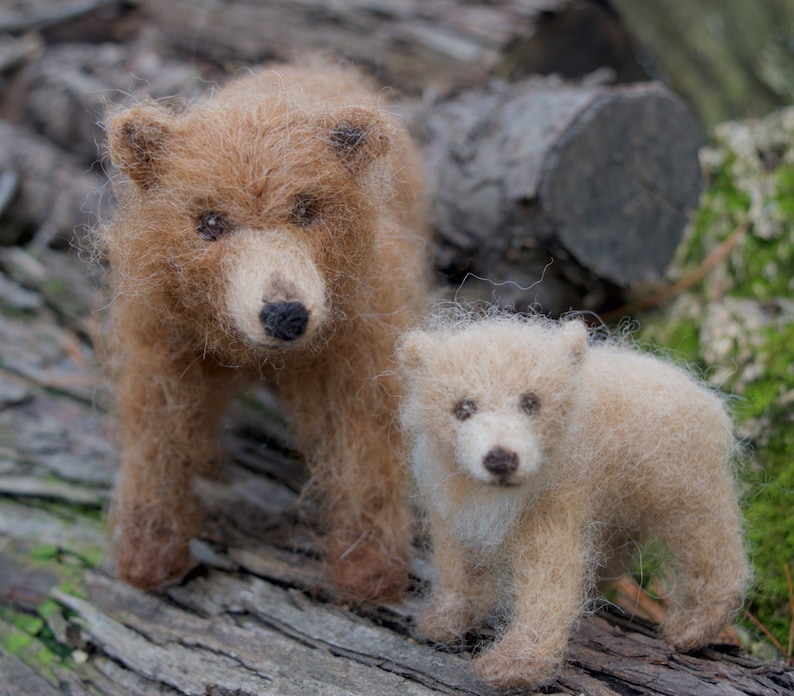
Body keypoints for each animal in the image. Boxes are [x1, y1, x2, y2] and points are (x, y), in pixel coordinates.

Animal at [96, 62, 430, 600]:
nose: (285, 314)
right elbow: (156, 429)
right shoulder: (165, 335)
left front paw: (369, 571)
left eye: (307, 211)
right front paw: (147, 557)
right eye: (210, 223)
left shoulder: (361, 332)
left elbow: (366, 446)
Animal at [396, 312, 748, 692]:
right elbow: (458, 564)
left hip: (683, 480)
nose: (501, 459)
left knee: (708, 540)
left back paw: (692, 626)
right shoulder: (451, 503)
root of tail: (707, 398)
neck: (497, 496)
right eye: (463, 408)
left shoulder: (552, 501)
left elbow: (549, 579)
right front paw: (444, 619)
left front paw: (514, 664)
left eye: (531, 402)